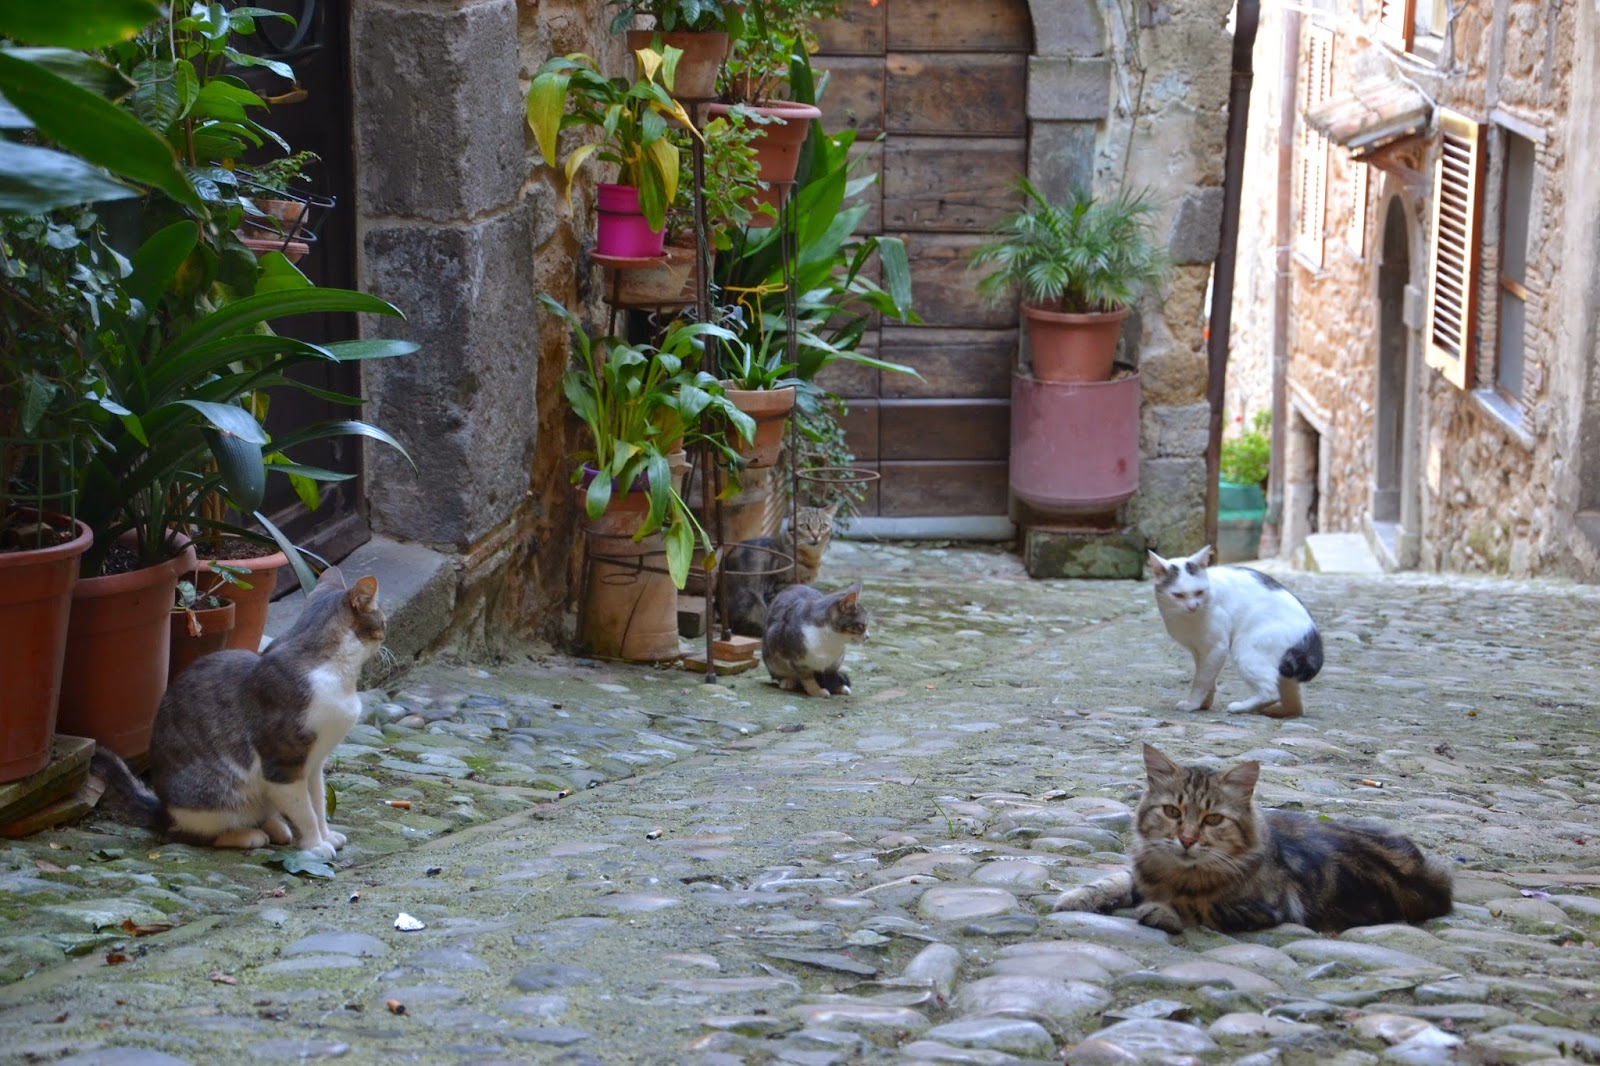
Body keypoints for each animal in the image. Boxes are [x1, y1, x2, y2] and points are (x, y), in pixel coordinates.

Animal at [92, 570, 385, 860]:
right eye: (382, 620)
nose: (385, 638)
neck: (335, 672)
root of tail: (163, 810)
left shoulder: (314, 763)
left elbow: (318, 802)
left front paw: (326, 836)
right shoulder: (283, 766)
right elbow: (305, 812)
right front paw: (315, 846)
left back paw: (276, 827)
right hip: (215, 797)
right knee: (184, 835)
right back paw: (247, 835)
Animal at [1053, 744, 1454, 934]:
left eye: (1213, 819)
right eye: (1172, 812)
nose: (1186, 840)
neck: (1175, 872)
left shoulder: (1263, 908)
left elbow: (1196, 905)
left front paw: (1161, 910)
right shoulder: (1138, 873)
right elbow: (1114, 880)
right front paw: (1076, 898)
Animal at [1148, 544, 1323, 718]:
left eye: (1199, 592)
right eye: (1178, 595)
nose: (1193, 606)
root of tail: (1311, 632)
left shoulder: (1217, 647)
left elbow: (1201, 679)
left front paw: (1192, 704)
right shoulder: (1199, 650)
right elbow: (1207, 677)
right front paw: (1204, 704)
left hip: (1246, 650)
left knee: (1271, 693)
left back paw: (1241, 707)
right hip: (1283, 671)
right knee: (1296, 706)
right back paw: (1274, 711)